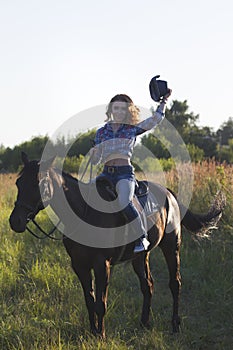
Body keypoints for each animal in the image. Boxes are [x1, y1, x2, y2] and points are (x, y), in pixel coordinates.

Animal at [8, 153, 224, 340]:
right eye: (18, 183)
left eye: (38, 183)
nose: (15, 221)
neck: (84, 212)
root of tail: (169, 193)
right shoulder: (79, 265)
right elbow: (89, 300)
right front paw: (92, 332)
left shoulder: (102, 264)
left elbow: (100, 303)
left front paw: (101, 335)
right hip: (140, 257)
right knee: (148, 285)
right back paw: (144, 323)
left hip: (172, 247)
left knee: (175, 283)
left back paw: (175, 325)